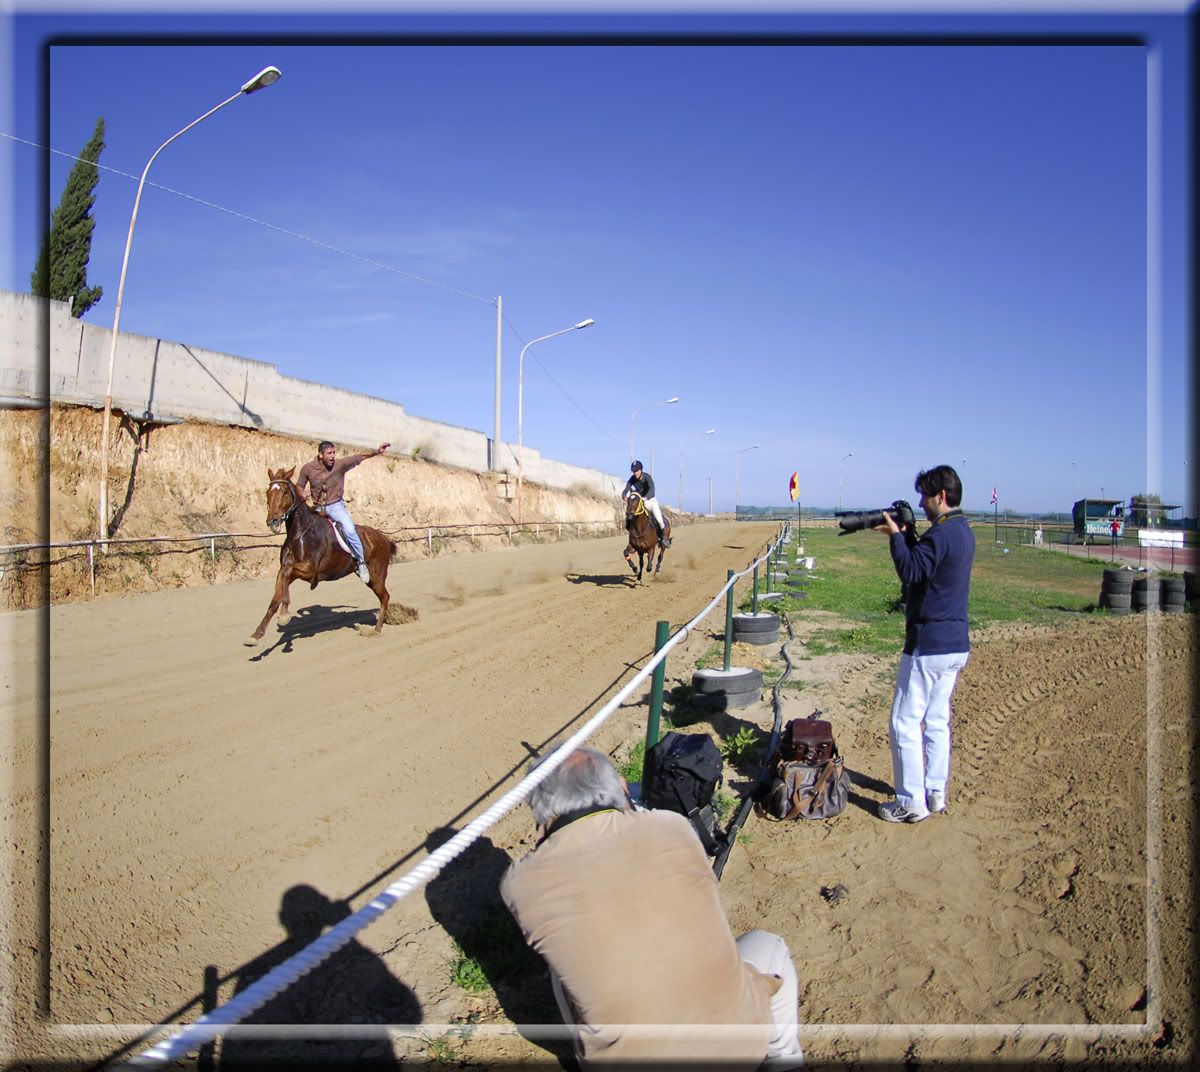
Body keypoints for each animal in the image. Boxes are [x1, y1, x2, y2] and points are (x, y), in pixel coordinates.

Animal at [248, 463, 398, 638]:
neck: (300, 532)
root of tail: (384, 539)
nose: (272, 521)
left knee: (385, 597)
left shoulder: (310, 570)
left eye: (285, 491)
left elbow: (287, 572)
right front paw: (256, 634)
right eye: (268, 492)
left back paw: (377, 629)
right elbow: (276, 595)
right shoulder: (288, 569)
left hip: (376, 576)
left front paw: (284, 614)